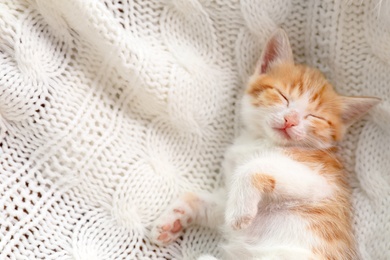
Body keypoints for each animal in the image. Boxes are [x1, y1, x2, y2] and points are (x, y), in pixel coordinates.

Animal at [150, 29, 380, 260]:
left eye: (315, 117)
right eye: (282, 96)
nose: (291, 120)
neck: (261, 140)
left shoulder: (321, 182)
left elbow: (253, 167)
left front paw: (239, 214)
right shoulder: (228, 193)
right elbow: (206, 201)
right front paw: (171, 220)